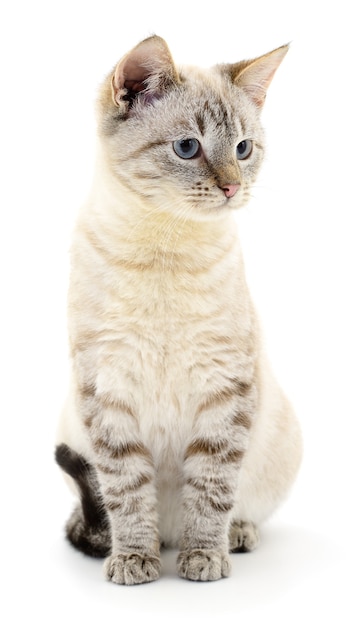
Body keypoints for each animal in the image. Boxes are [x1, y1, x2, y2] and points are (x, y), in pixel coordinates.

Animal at [55, 33, 302, 580]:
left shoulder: (225, 387)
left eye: (243, 149)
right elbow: (126, 492)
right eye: (188, 147)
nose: (233, 187)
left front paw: (204, 557)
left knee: (237, 506)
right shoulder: (107, 389)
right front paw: (133, 559)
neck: (164, 248)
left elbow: (210, 488)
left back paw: (234, 536)